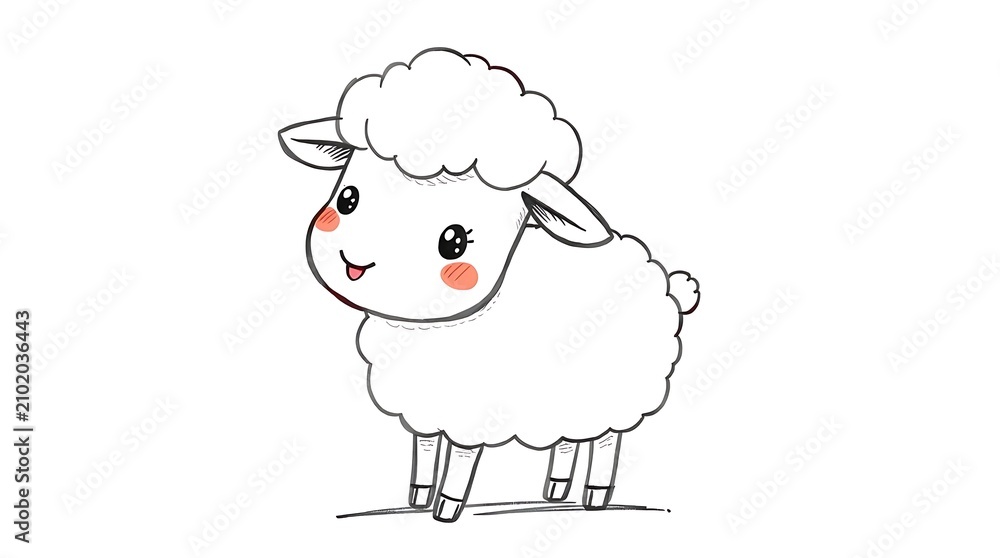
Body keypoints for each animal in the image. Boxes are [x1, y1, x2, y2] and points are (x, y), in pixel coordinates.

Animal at [278, 47, 700, 522]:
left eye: (454, 242)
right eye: (347, 199)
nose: (356, 264)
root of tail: (662, 279)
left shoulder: (469, 412)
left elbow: (461, 460)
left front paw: (447, 508)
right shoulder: (424, 404)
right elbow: (425, 448)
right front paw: (418, 496)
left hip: (617, 395)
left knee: (607, 443)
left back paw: (594, 496)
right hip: (569, 398)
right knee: (570, 441)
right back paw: (555, 490)